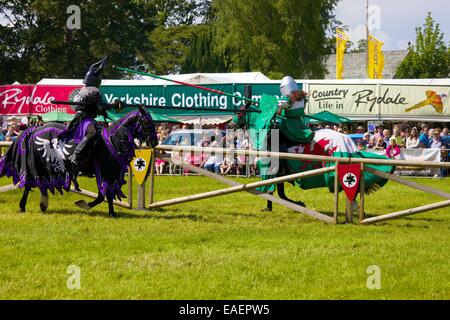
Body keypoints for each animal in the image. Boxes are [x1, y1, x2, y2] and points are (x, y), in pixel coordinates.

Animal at [0, 106, 158, 216]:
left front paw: (111, 212)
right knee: (30, 183)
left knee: (41, 183)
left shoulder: (106, 173)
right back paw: (23, 205)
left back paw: (42, 204)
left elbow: (105, 195)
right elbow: (104, 195)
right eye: (146, 121)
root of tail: (33, 129)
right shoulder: (105, 172)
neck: (113, 140)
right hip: (38, 164)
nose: (154, 142)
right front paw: (86, 205)